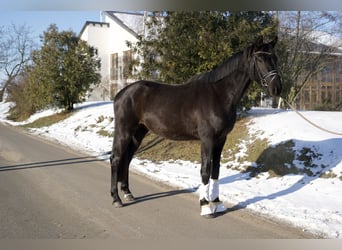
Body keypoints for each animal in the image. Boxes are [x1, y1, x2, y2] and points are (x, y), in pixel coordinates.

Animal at [109, 36, 280, 218]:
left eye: (275, 58)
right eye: (260, 58)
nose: (277, 88)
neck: (219, 95)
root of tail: (121, 93)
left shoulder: (221, 139)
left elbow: (215, 171)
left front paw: (217, 203)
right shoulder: (207, 139)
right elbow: (205, 170)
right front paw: (205, 206)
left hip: (139, 132)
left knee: (127, 158)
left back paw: (127, 193)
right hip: (124, 131)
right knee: (116, 158)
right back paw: (116, 198)